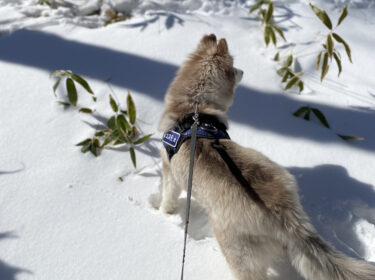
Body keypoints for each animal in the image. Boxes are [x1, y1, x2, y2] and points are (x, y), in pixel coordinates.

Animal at [157, 34, 374, 278]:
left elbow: (167, 198)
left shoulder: (169, 173)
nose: (243, 71)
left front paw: (163, 212)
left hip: (238, 254)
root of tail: (285, 215)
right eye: (235, 66)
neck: (194, 108)